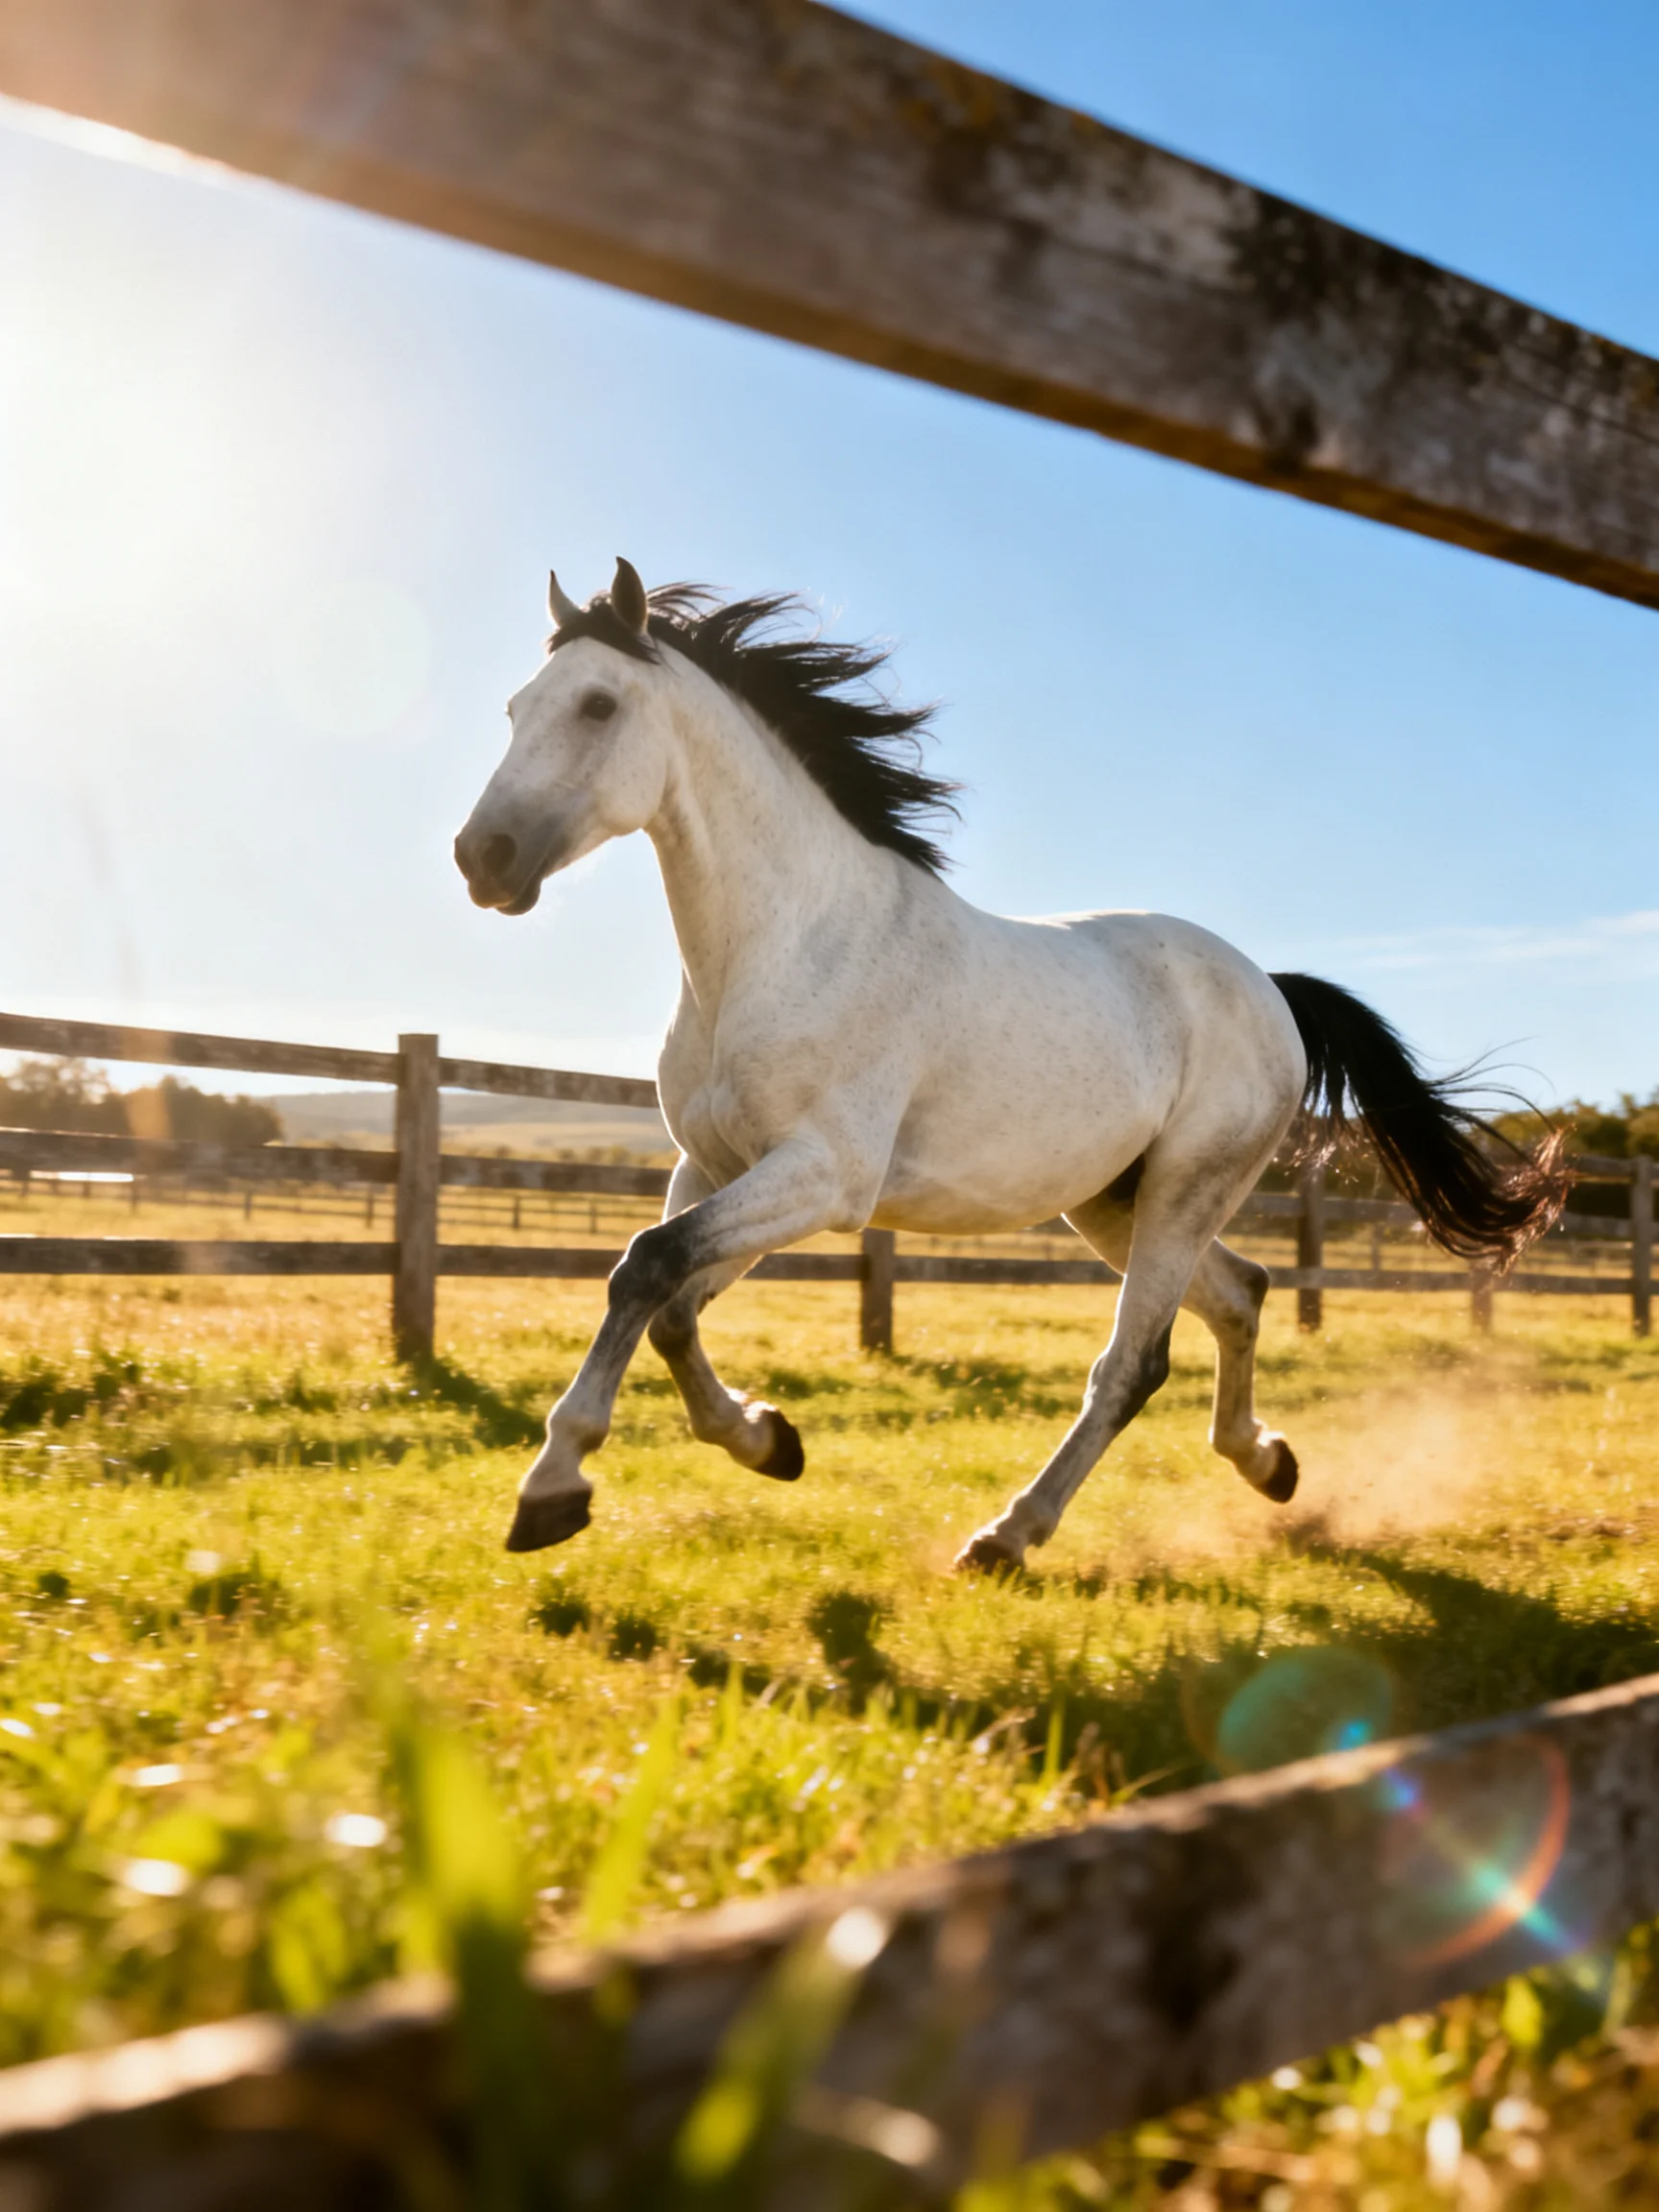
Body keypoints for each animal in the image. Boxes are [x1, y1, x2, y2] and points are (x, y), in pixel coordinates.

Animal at [454, 559, 1563, 1572]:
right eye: (512, 708)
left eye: (598, 704)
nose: (481, 859)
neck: (786, 943)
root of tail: (1271, 989)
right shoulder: (717, 1165)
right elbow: (670, 1304)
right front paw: (768, 1441)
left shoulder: (825, 1177)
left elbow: (646, 1266)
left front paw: (552, 1491)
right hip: (1116, 1201)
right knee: (1241, 1292)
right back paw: (1269, 1463)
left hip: (1184, 1189)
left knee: (1133, 1362)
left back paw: (1008, 1536)